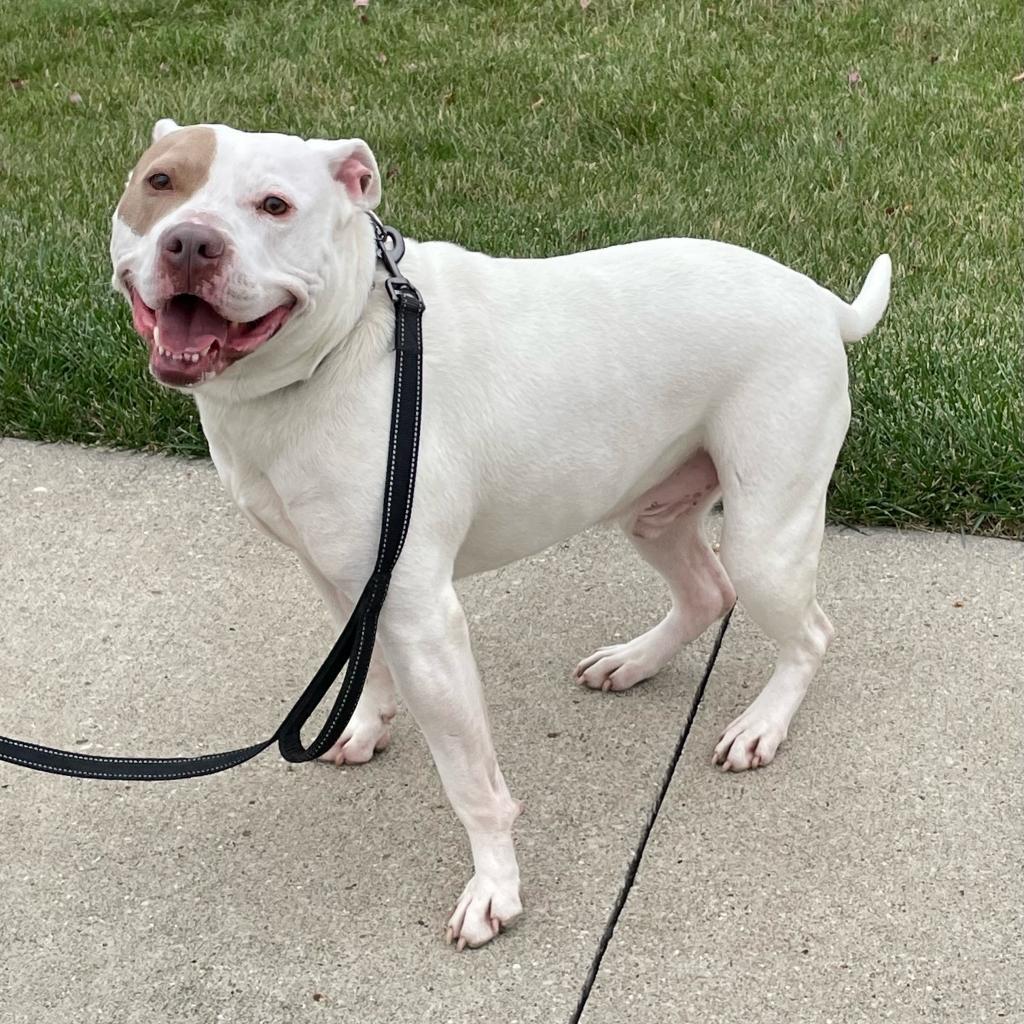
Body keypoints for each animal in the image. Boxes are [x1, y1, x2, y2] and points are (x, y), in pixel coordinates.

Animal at [110, 121, 888, 950]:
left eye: (275, 205)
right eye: (160, 182)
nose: (191, 243)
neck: (344, 346)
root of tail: (820, 302)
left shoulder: (423, 616)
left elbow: (471, 783)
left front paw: (494, 888)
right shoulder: (345, 579)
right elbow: (366, 662)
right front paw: (365, 723)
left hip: (766, 532)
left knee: (806, 631)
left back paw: (761, 727)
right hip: (653, 508)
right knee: (707, 591)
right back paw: (634, 662)